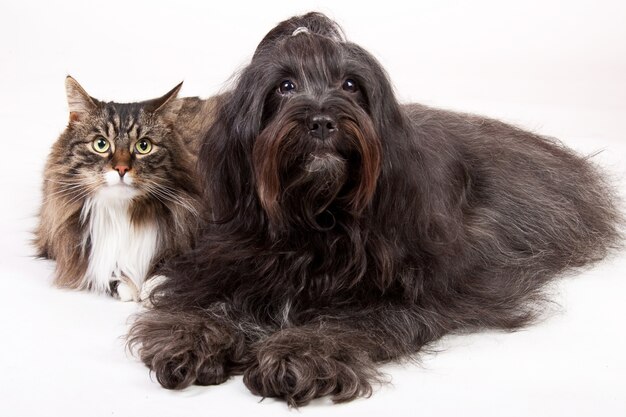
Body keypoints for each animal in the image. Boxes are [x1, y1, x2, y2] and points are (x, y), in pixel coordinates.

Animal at [34, 76, 216, 300]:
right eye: (101, 144)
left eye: (144, 146)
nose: (121, 169)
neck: (122, 213)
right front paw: (126, 285)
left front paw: (155, 287)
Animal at [128, 12, 620, 404]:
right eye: (285, 86)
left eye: (351, 85)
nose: (322, 121)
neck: (314, 217)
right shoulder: (219, 258)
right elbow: (203, 299)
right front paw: (191, 336)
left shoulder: (418, 292)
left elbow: (349, 321)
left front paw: (299, 353)